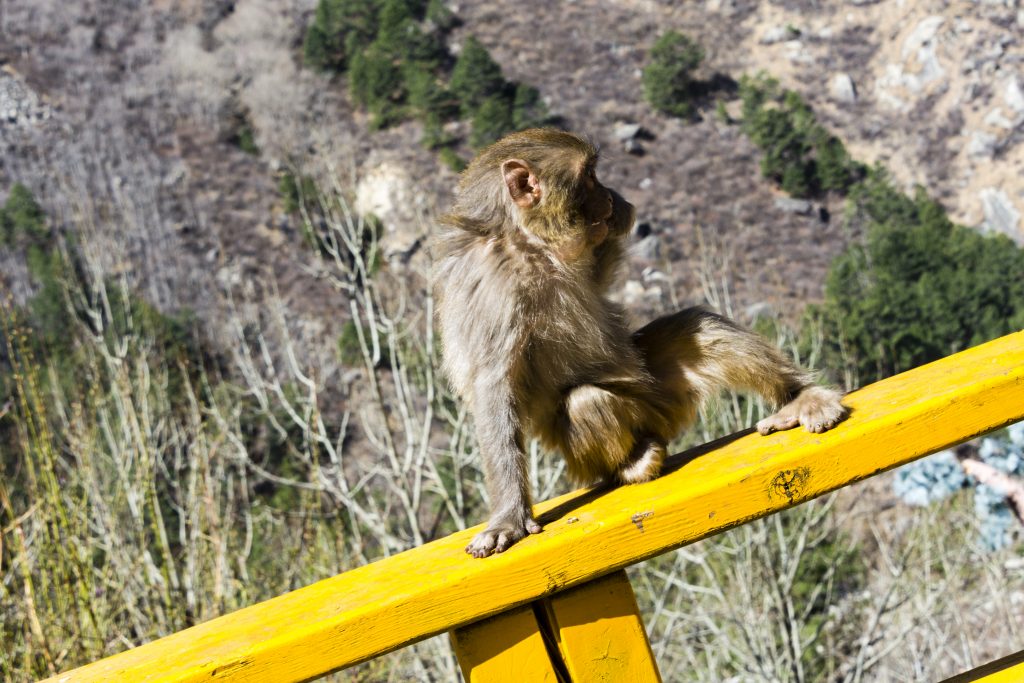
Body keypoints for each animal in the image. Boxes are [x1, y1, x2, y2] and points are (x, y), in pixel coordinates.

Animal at [434, 129, 847, 561]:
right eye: (588, 177)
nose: (607, 194)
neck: (530, 245)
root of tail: (660, 424)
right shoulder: (493, 290)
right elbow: (494, 387)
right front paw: (508, 519)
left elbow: (601, 271)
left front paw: (620, 212)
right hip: (602, 442)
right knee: (586, 402)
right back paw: (630, 465)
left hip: (659, 392)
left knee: (695, 329)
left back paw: (797, 399)